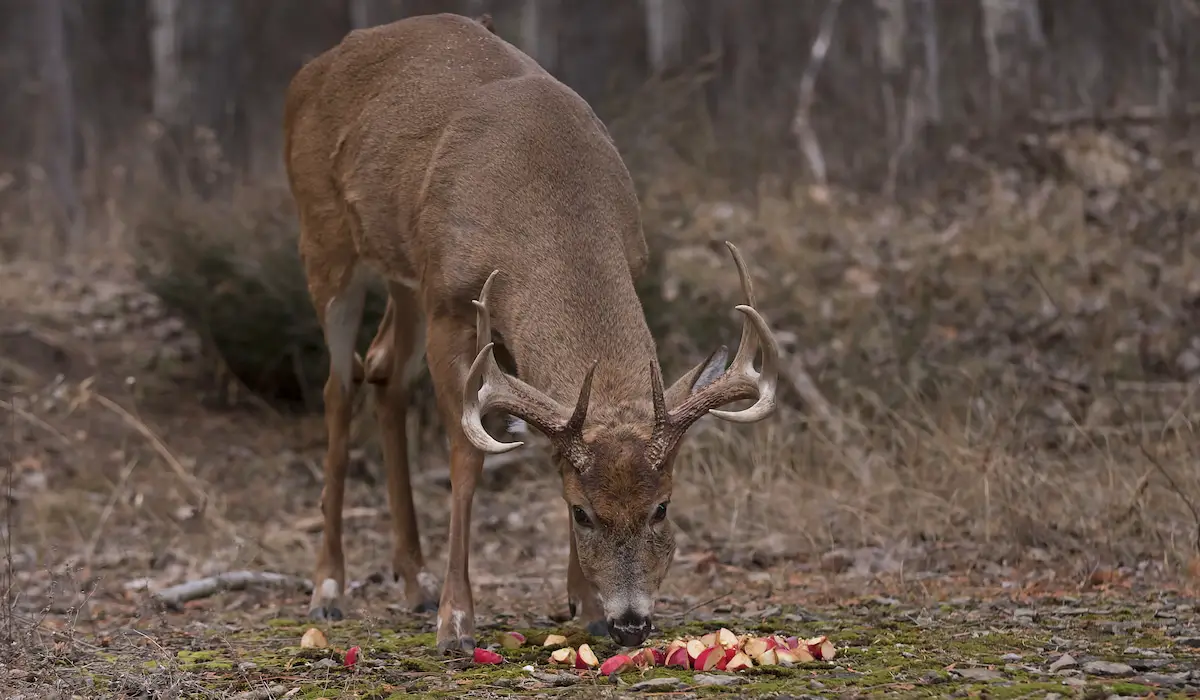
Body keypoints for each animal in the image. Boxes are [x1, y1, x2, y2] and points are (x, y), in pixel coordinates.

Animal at [282, 12, 782, 655]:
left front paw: (584, 605)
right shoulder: (451, 304)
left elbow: (552, 440)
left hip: (404, 270)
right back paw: (329, 588)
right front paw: (456, 622)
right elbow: (468, 455)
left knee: (384, 366)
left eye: (662, 508)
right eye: (582, 513)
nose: (631, 623)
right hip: (325, 239)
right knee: (338, 385)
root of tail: (308, 73)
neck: (545, 189)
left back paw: (414, 580)